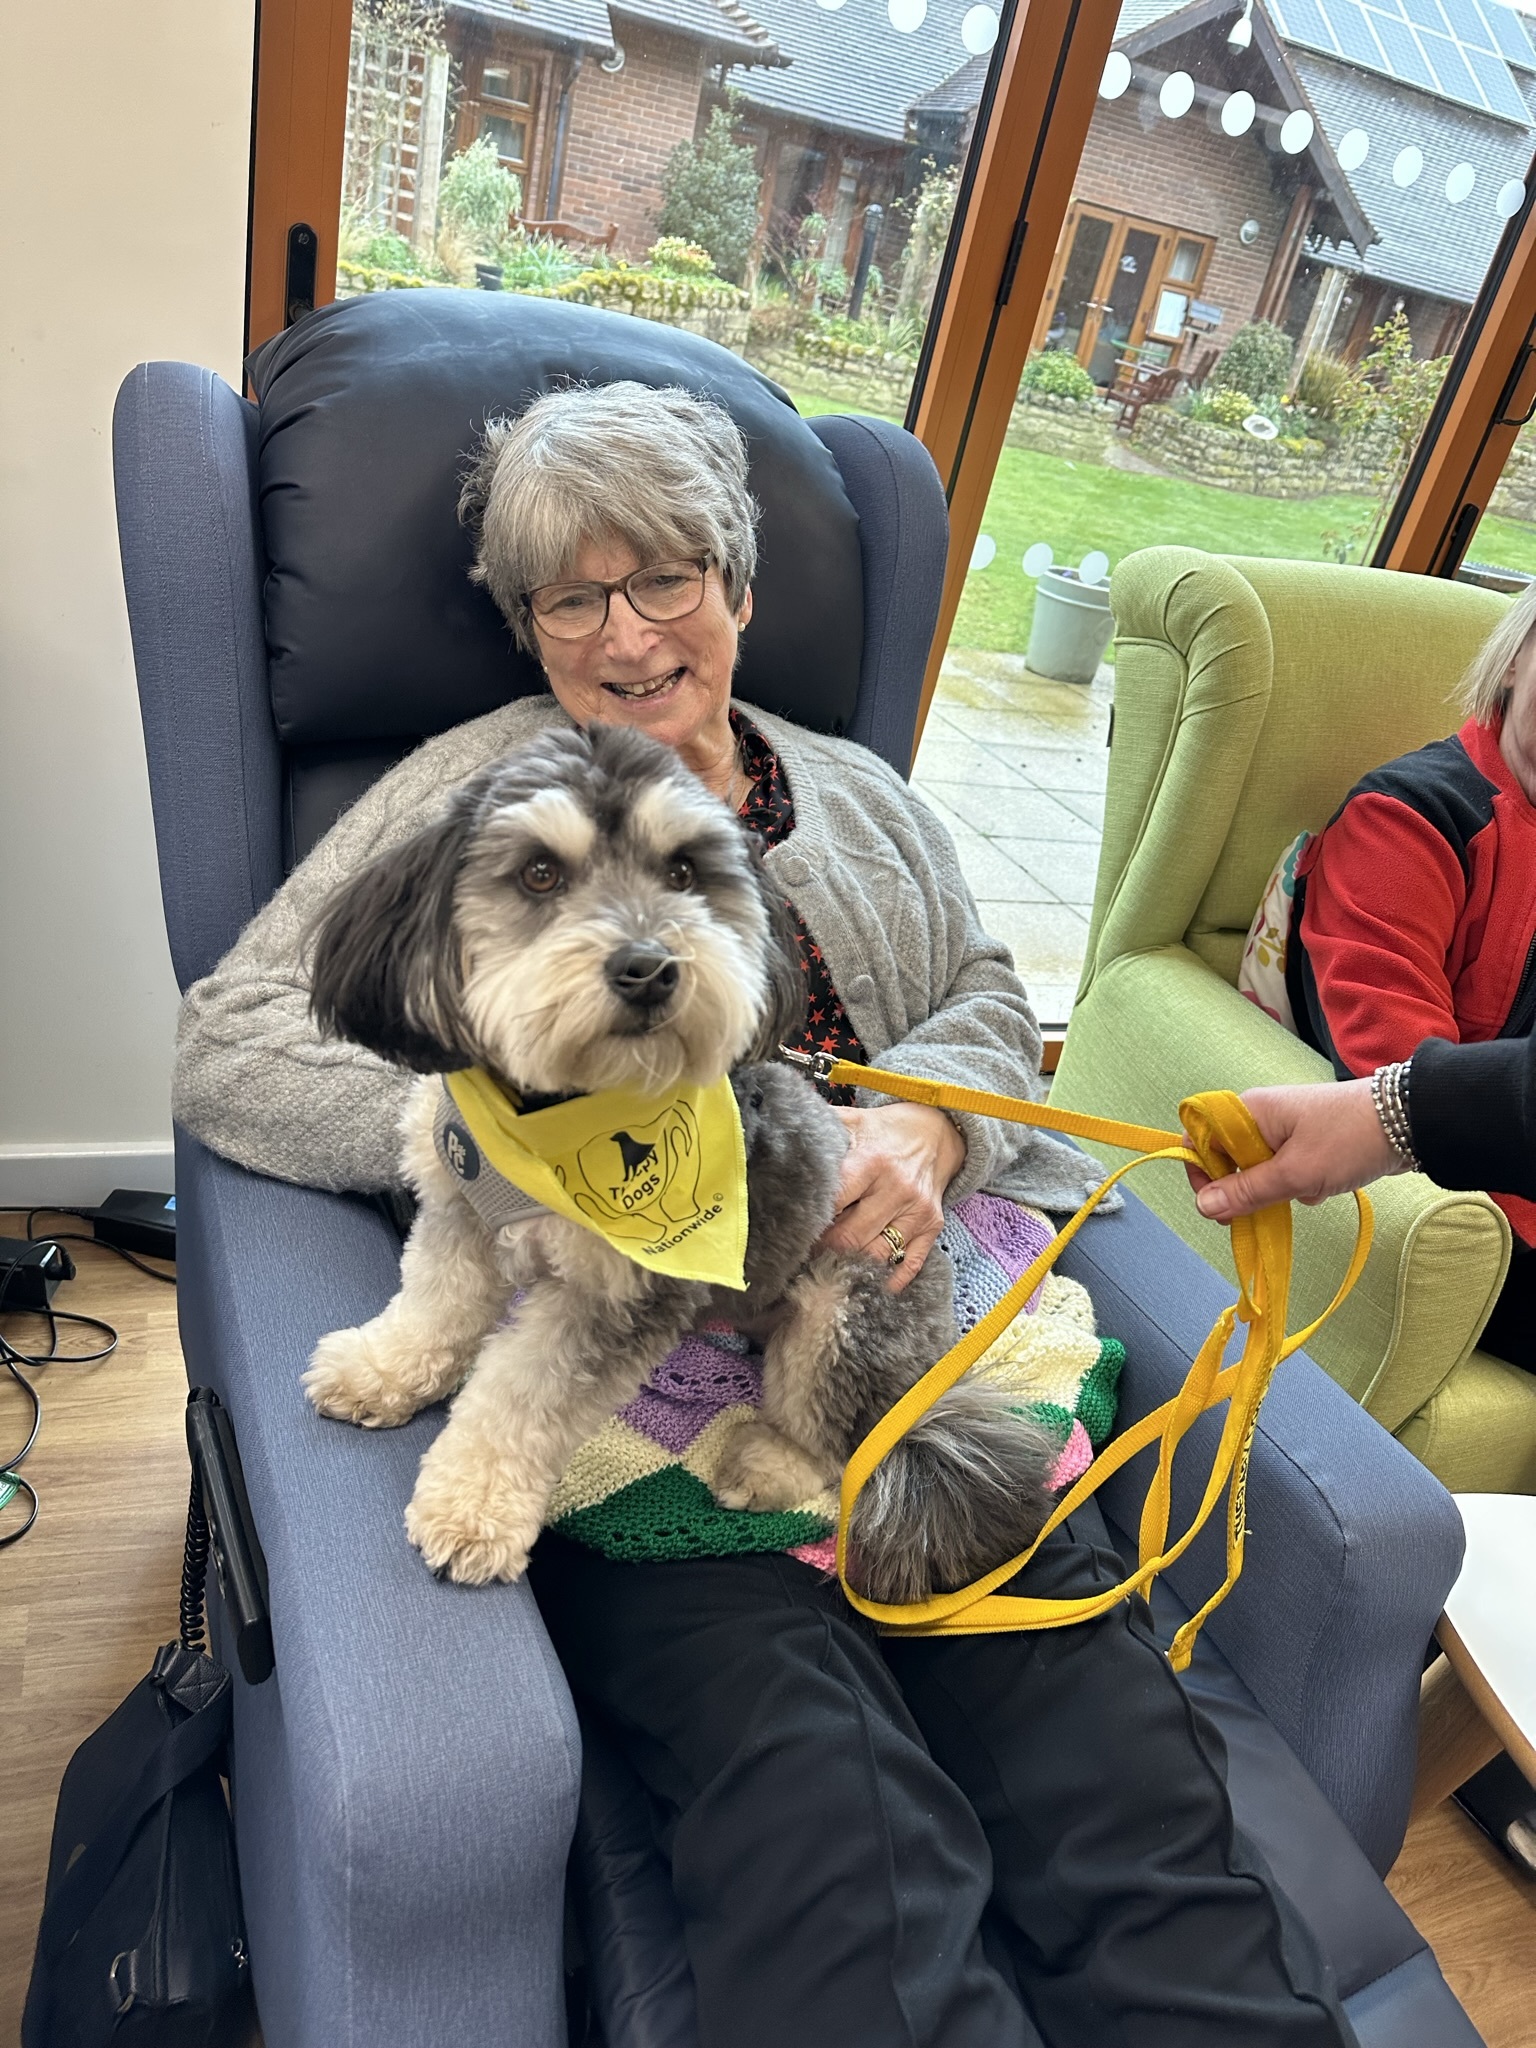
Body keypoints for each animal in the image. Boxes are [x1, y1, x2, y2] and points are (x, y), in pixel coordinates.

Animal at [301, 729, 1056, 1605]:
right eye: (539, 873)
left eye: (684, 873)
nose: (649, 968)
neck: (552, 1116)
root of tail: (928, 1384)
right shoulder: (459, 1213)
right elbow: (435, 1309)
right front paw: (379, 1373)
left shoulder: (615, 1299)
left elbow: (522, 1396)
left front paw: (474, 1510)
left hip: (841, 1317)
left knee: (842, 1446)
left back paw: (765, 1464)